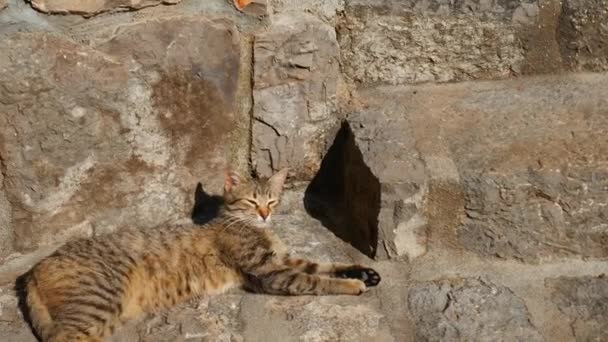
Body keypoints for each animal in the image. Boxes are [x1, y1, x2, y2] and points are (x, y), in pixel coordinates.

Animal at [21, 167, 380, 340]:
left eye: (272, 200)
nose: (265, 214)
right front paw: (353, 285)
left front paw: (362, 271)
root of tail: (34, 268)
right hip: (100, 301)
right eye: (251, 202)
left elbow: (324, 265)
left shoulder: (283, 259)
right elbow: (316, 280)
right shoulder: (270, 273)